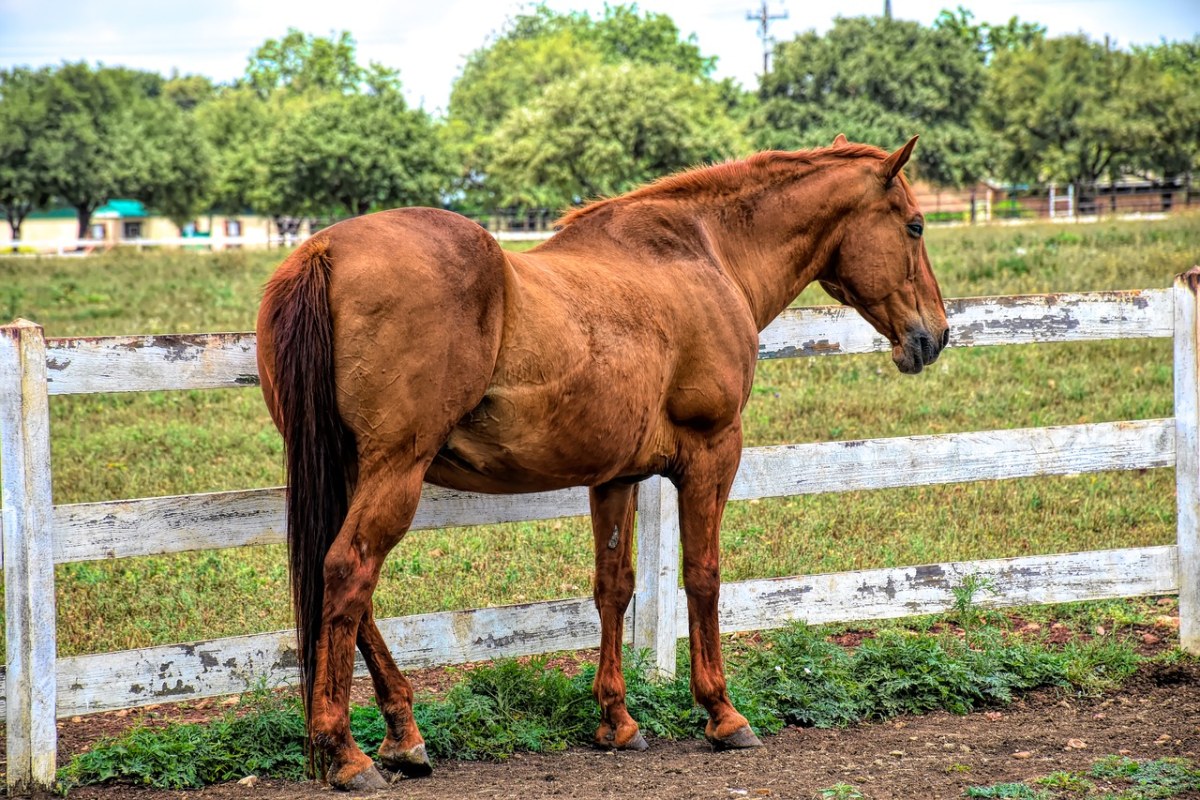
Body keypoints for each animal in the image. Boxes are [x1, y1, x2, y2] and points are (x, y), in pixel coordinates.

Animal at [258, 136, 950, 786]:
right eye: (915, 226)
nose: (935, 336)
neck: (705, 257)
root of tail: (324, 251)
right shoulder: (713, 454)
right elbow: (702, 575)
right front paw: (723, 714)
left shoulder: (616, 477)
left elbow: (613, 587)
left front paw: (616, 720)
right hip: (396, 470)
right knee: (349, 573)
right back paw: (346, 752)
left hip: (356, 473)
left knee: (347, 589)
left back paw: (403, 735)